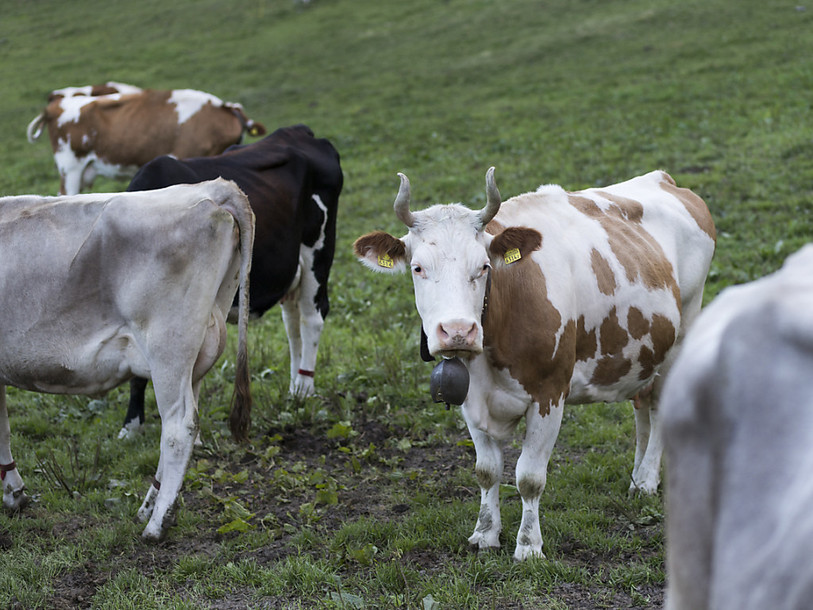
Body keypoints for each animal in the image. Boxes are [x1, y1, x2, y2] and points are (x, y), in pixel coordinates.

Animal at [0, 178, 255, 541]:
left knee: (180, 426)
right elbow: (4, 428)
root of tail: (214, 189)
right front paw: (14, 494)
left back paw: (157, 523)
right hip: (198, 351)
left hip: (168, 348)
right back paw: (151, 506)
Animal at [117, 124, 343, 440]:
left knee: (313, 317)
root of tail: (297, 131)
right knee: (292, 321)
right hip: (290, 267)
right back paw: (295, 388)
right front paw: (131, 426)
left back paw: (305, 389)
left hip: (318, 252)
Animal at [353, 168, 716, 560]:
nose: (458, 331)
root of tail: (664, 179)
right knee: (642, 406)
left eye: (483, 266)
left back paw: (647, 479)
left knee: (662, 406)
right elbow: (486, 470)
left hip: (683, 333)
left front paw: (528, 546)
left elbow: (529, 477)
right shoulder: (470, 399)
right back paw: (638, 475)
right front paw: (485, 533)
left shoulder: (550, 393)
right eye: (418, 268)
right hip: (641, 354)